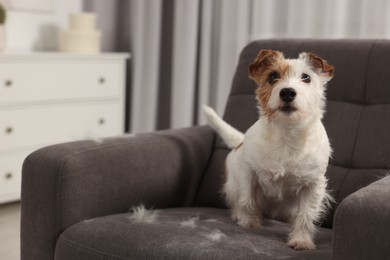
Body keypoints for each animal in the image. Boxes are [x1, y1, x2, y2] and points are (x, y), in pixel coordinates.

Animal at [203, 49, 334, 250]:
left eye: (306, 77)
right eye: (273, 76)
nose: (287, 92)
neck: (287, 134)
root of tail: (240, 141)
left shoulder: (314, 185)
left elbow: (306, 215)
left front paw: (301, 240)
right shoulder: (248, 172)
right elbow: (247, 200)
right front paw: (249, 222)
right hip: (233, 183)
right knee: (238, 198)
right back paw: (237, 214)